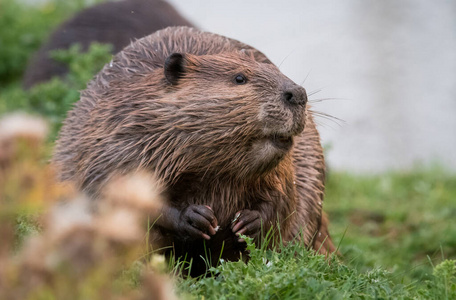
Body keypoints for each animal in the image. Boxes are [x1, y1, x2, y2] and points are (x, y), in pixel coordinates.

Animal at [53, 26, 334, 276]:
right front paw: (197, 217)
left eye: (273, 69)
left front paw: (248, 221)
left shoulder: (285, 169)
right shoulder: (117, 140)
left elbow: (284, 198)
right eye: (239, 78)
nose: (297, 94)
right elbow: (116, 193)